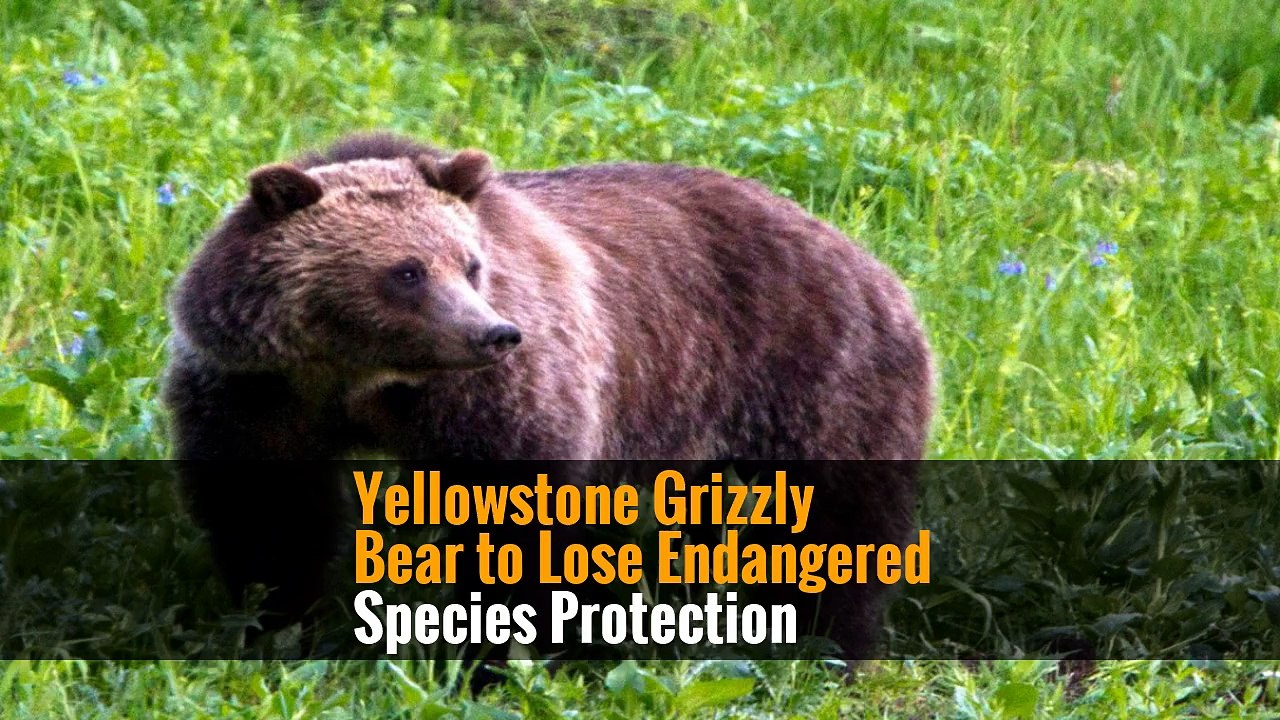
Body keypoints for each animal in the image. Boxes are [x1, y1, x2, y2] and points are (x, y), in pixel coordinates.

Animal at [163, 132, 933, 660]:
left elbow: (513, 516)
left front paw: (495, 653)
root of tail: (863, 254)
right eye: (407, 271)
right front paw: (273, 623)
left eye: (471, 264)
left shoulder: (498, 397)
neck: (361, 377)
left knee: (837, 519)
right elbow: (268, 510)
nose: (494, 333)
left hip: (811, 368)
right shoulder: (259, 392)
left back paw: (827, 644)